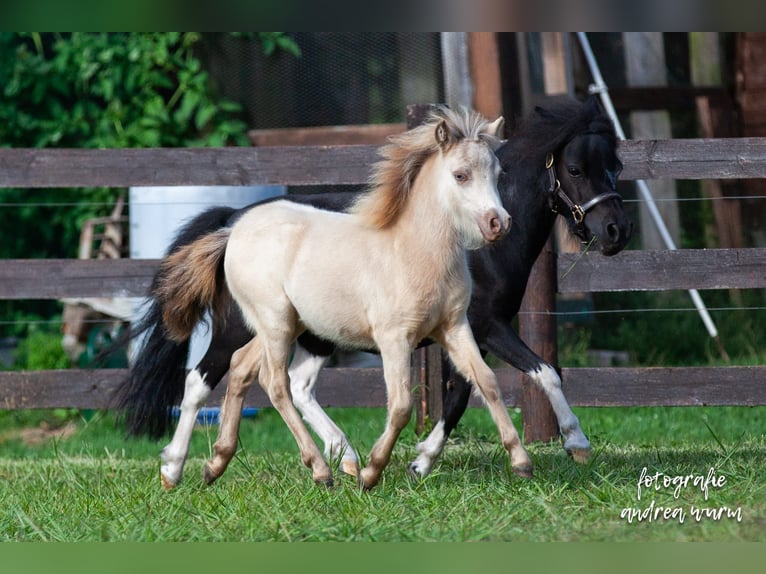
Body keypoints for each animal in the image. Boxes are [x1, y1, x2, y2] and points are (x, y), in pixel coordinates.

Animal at [114, 96, 632, 488]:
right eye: (575, 168)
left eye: (616, 164)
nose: (615, 232)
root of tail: (232, 225)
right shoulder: (470, 327)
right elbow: (537, 373)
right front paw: (575, 443)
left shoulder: (456, 328)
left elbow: (475, 388)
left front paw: (437, 459)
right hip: (253, 326)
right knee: (220, 381)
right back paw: (189, 467)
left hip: (301, 333)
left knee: (270, 379)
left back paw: (285, 458)